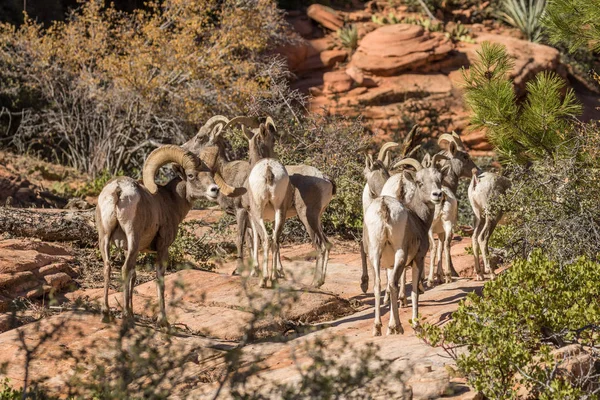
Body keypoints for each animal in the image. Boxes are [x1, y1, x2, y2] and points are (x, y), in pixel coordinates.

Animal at [96, 144, 241, 324]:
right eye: (191, 175)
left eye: (211, 175)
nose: (215, 190)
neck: (170, 201)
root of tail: (119, 189)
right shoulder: (162, 247)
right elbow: (160, 278)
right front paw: (162, 320)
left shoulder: (130, 249)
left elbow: (134, 276)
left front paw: (134, 312)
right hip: (132, 237)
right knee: (124, 268)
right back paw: (125, 316)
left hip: (104, 238)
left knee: (108, 267)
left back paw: (106, 313)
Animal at [364, 155, 442, 336]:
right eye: (419, 182)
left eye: (439, 179)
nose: (437, 194)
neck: (419, 218)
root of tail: (384, 206)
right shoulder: (418, 259)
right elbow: (413, 291)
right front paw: (415, 325)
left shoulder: (390, 265)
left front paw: (390, 326)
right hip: (400, 254)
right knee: (393, 285)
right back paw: (398, 327)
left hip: (374, 254)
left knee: (378, 285)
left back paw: (377, 328)